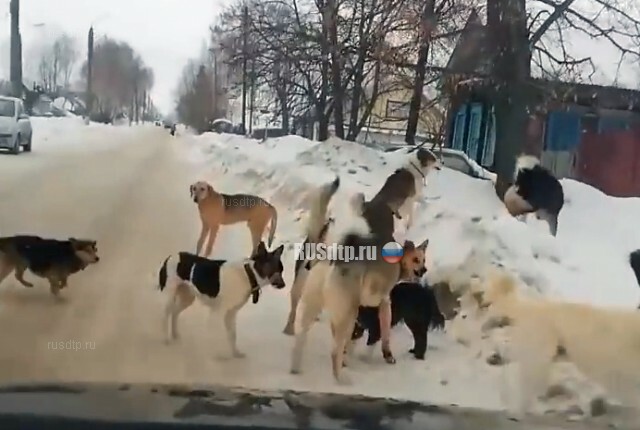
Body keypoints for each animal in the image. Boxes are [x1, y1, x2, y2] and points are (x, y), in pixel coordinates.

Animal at [156, 240, 284, 358]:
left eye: (282, 270)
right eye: (276, 268)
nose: (284, 285)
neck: (248, 275)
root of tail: (170, 256)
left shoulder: (232, 313)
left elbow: (232, 335)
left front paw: (235, 352)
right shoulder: (218, 313)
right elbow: (218, 334)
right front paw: (219, 354)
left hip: (187, 298)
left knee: (174, 313)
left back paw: (175, 334)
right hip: (170, 296)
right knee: (165, 315)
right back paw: (165, 337)